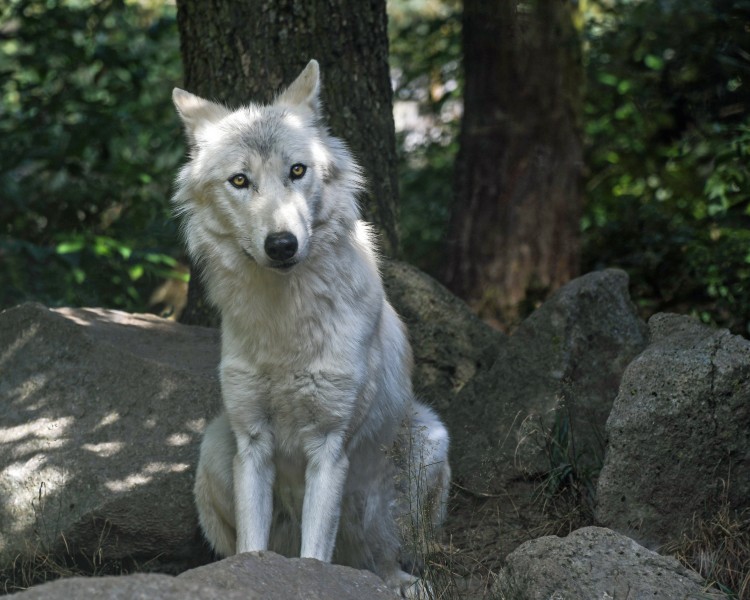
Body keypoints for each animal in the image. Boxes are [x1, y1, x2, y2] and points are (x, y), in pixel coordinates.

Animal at [172, 61, 452, 596]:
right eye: (240, 180)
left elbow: (315, 556)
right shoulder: (252, 443)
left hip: (429, 443)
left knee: (388, 555)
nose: (281, 244)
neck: (286, 326)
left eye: (297, 171)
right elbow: (252, 547)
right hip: (214, 446)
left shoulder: (329, 446)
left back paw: (400, 582)